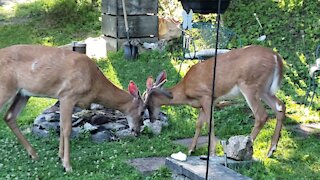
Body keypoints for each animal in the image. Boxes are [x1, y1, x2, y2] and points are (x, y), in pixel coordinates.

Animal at [0, 44, 145, 172]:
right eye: (143, 111)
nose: (137, 131)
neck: (94, 83)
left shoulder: (63, 98)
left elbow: (61, 126)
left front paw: (60, 156)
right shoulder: (68, 95)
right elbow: (67, 129)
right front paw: (67, 165)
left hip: (22, 93)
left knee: (9, 116)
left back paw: (33, 154)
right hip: (5, 88)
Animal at [144, 45, 286, 158]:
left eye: (146, 100)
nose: (151, 119)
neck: (185, 90)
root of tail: (276, 57)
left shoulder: (206, 96)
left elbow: (209, 123)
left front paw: (211, 153)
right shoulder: (206, 102)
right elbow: (199, 124)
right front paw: (191, 149)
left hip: (250, 85)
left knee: (261, 115)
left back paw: (245, 147)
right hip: (265, 90)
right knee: (280, 106)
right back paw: (271, 150)